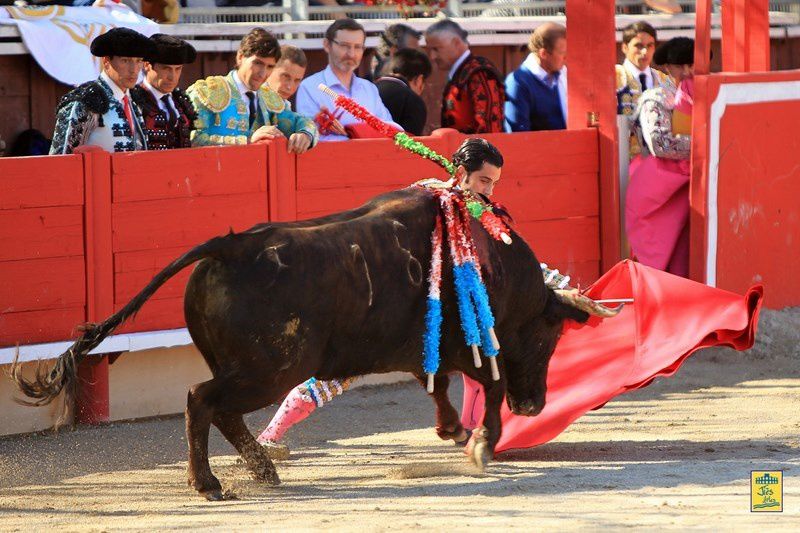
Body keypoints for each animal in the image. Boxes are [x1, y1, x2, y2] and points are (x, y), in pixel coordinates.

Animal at [12, 187, 588, 498]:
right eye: (551, 336)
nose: (534, 405)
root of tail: (231, 246)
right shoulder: (475, 346)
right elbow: (487, 384)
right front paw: (483, 442)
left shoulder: (432, 348)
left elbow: (439, 384)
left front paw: (455, 430)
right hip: (270, 369)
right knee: (202, 400)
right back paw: (209, 483)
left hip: (252, 368)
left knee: (222, 410)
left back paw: (262, 470)